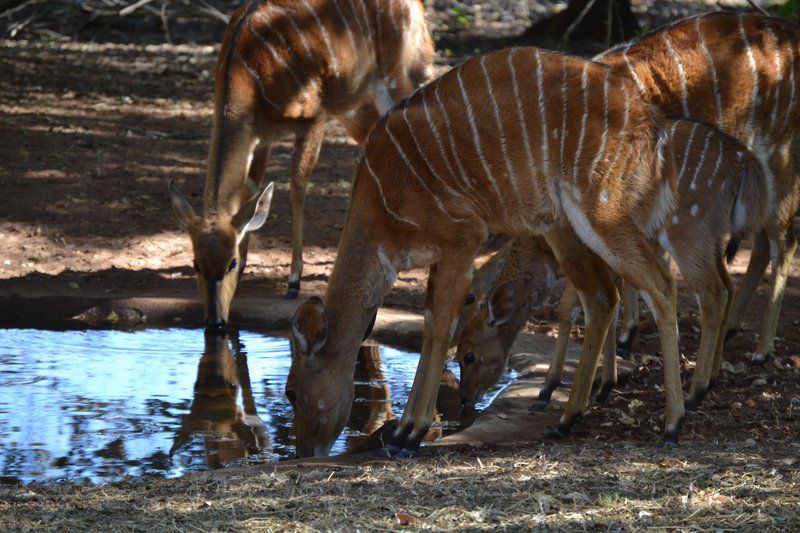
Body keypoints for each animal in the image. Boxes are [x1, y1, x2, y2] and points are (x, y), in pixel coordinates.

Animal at [166, 0, 434, 330]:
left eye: (229, 263)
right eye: (195, 264)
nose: (214, 322)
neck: (248, 75)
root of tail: (417, 9)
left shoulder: (313, 117)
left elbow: (296, 187)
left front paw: (293, 281)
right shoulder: (261, 135)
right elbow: (253, 192)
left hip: (396, 77)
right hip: (357, 104)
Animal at [288, 48, 768, 458]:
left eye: (293, 392)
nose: (304, 451)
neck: (380, 209)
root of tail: (655, 124)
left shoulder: (462, 238)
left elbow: (439, 326)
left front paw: (411, 434)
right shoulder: (445, 254)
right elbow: (431, 323)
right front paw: (404, 431)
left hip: (603, 212)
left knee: (664, 286)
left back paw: (673, 421)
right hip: (566, 226)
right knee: (604, 297)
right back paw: (568, 418)